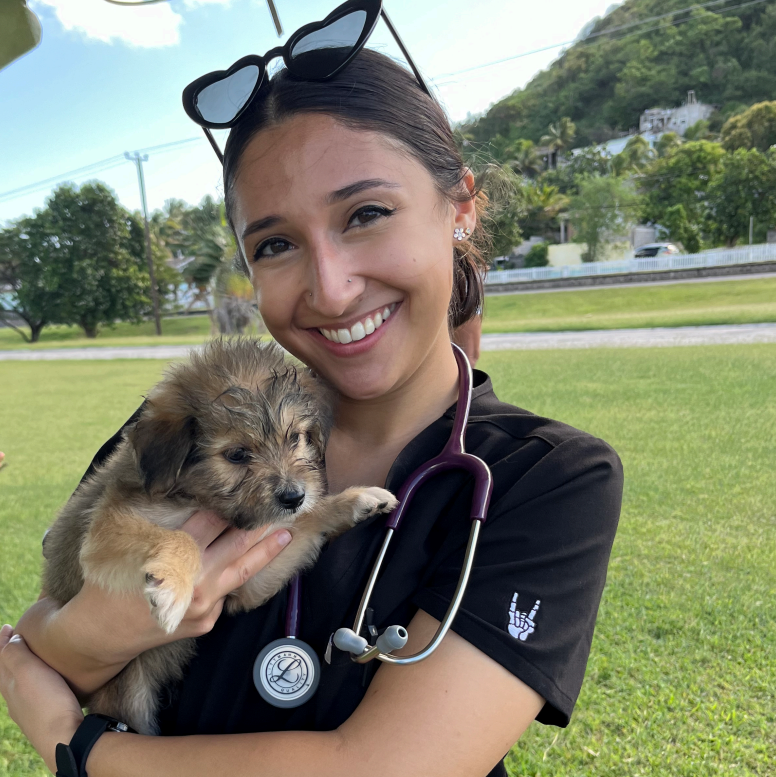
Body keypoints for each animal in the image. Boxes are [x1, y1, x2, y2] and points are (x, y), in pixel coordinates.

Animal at [39, 338, 398, 732]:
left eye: (295, 438)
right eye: (237, 454)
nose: (294, 497)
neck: (200, 498)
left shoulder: (250, 582)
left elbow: (303, 524)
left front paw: (355, 501)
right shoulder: (106, 531)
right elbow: (183, 539)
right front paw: (173, 591)